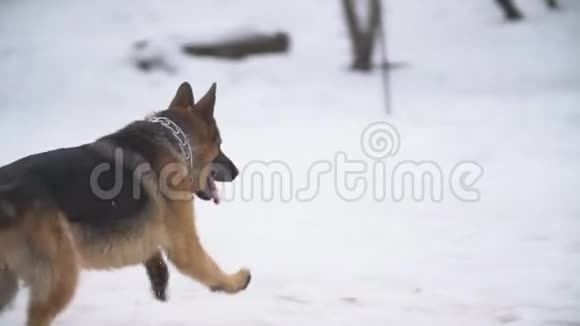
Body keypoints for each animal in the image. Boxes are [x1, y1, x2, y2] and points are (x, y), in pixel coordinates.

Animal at [0, 83, 250, 324]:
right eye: (219, 144)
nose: (236, 171)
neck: (175, 140)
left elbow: (151, 250)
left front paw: (159, 276)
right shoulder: (184, 245)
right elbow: (210, 268)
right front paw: (235, 282)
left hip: (13, 284)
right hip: (62, 278)